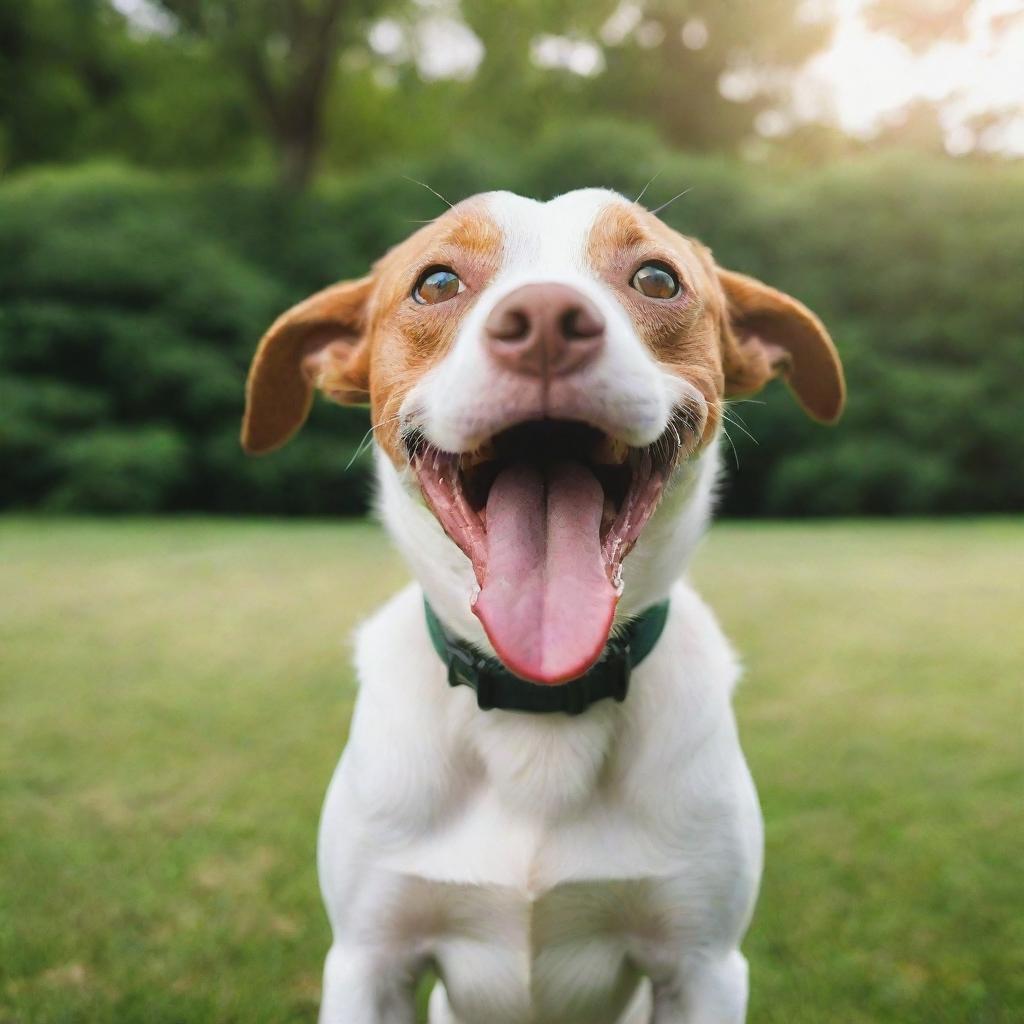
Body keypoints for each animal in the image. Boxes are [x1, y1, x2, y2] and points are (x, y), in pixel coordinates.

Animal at [241, 188, 847, 1019]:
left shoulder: (703, 966)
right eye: (436, 283)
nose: (547, 322)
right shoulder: (370, 961)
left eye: (657, 278)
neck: (540, 704)